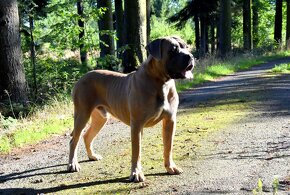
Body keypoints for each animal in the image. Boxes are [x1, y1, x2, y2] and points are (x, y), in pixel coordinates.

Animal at [68, 35, 195, 182]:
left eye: (186, 47)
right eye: (173, 50)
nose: (190, 56)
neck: (161, 82)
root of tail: (81, 78)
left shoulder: (170, 121)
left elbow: (168, 147)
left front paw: (170, 167)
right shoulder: (137, 125)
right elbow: (136, 151)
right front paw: (136, 173)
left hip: (100, 118)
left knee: (87, 136)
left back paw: (92, 156)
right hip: (82, 114)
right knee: (74, 140)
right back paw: (72, 164)